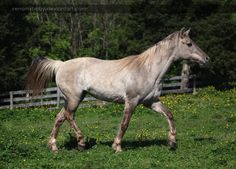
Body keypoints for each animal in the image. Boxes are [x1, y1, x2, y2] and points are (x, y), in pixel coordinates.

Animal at [25, 27, 209, 152]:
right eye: (189, 44)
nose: (206, 59)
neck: (147, 70)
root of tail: (60, 64)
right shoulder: (132, 101)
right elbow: (124, 124)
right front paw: (117, 146)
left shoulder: (151, 102)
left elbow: (169, 115)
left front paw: (172, 142)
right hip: (74, 98)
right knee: (69, 116)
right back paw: (81, 142)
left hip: (73, 98)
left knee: (59, 118)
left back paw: (54, 147)